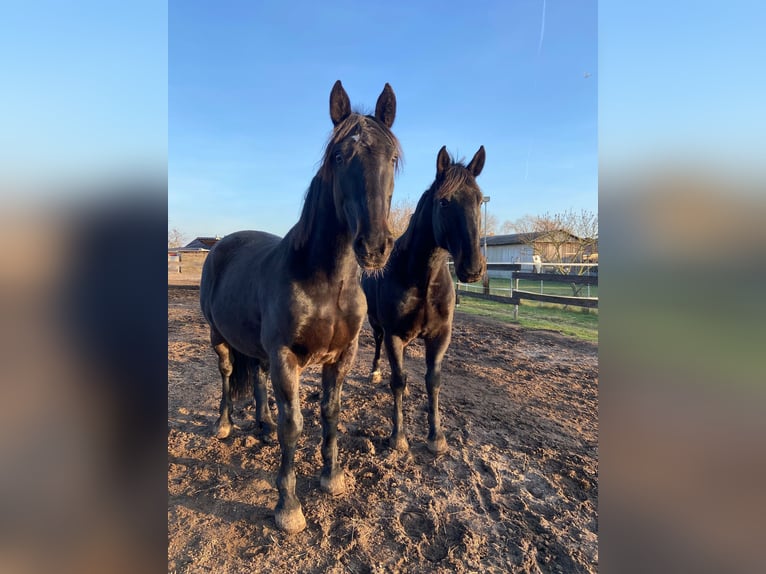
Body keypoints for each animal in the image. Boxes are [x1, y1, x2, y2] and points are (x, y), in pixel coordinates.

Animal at [200, 81, 400, 533]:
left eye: (393, 158)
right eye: (340, 157)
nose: (375, 247)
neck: (327, 283)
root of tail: (222, 242)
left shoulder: (342, 356)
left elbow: (330, 413)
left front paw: (332, 477)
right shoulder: (286, 357)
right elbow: (294, 427)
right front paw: (288, 507)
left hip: (257, 349)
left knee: (255, 377)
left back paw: (262, 424)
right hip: (218, 337)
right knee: (227, 375)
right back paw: (224, 425)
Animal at [362, 146, 486, 455]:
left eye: (479, 200)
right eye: (444, 202)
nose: (473, 268)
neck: (423, 279)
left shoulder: (440, 336)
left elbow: (433, 381)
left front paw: (436, 437)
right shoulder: (395, 335)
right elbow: (398, 380)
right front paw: (398, 437)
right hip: (376, 324)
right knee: (379, 345)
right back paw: (375, 373)